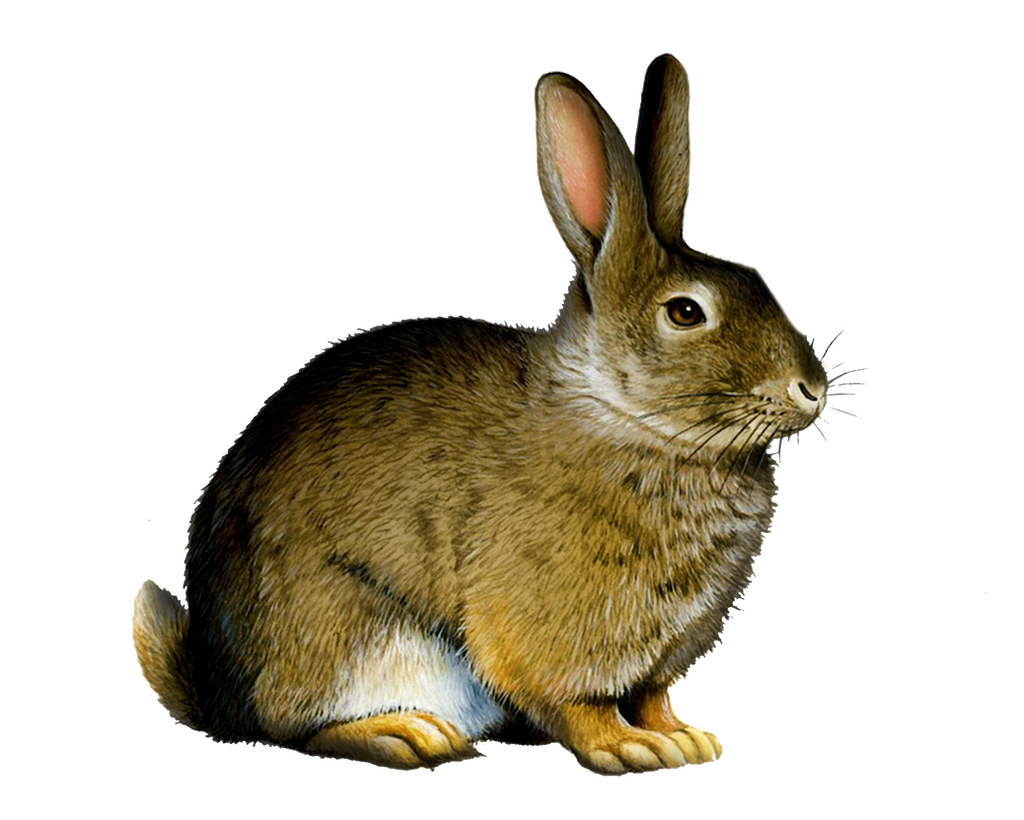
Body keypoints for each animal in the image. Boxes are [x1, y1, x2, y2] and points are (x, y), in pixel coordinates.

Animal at [129, 48, 828, 778]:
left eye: (758, 280)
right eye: (686, 312)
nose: (811, 388)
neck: (626, 417)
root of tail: (217, 695)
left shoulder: (661, 657)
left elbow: (654, 695)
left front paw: (687, 739)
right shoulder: (545, 628)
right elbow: (578, 703)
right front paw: (630, 748)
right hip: (352, 636)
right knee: (298, 725)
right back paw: (409, 736)